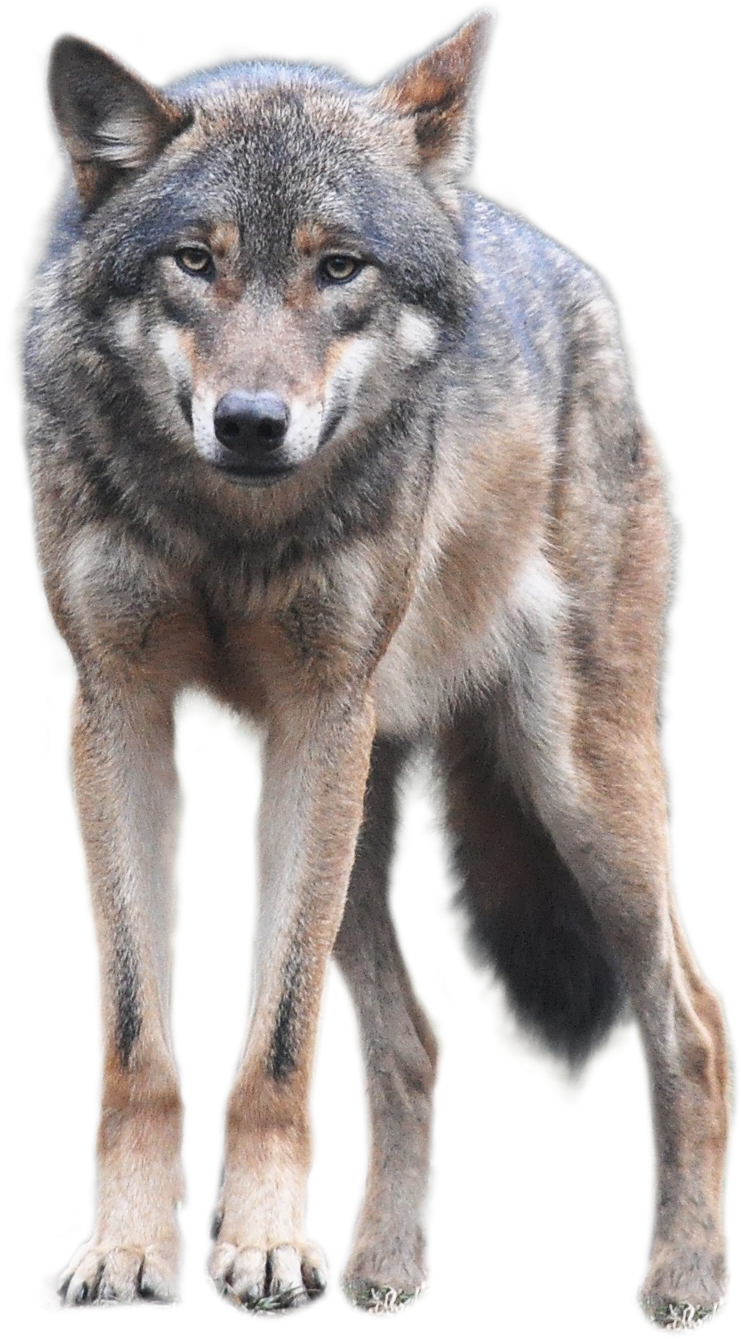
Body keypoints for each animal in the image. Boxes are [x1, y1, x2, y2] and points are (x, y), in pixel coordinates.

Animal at [11, 7, 734, 1326]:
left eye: (339, 268)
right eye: (194, 261)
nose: (251, 422)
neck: (231, 531)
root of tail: (556, 259)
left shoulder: (314, 718)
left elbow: (279, 1044)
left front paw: (259, 1250)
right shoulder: (116, 710)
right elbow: (139, 1041)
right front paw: (130, 1250)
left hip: (564, 779)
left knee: (690, 1012)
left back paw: (686, 1275)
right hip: (355, 806)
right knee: (415, 1045)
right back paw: (382, 1267)